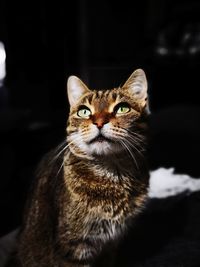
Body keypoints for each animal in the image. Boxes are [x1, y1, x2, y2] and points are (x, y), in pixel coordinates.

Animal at [6, 68, 150, 267]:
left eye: (122, 108)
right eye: (83, 111)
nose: (99, 122)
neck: (112, 175)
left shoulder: (111, 245)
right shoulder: (74, 247)